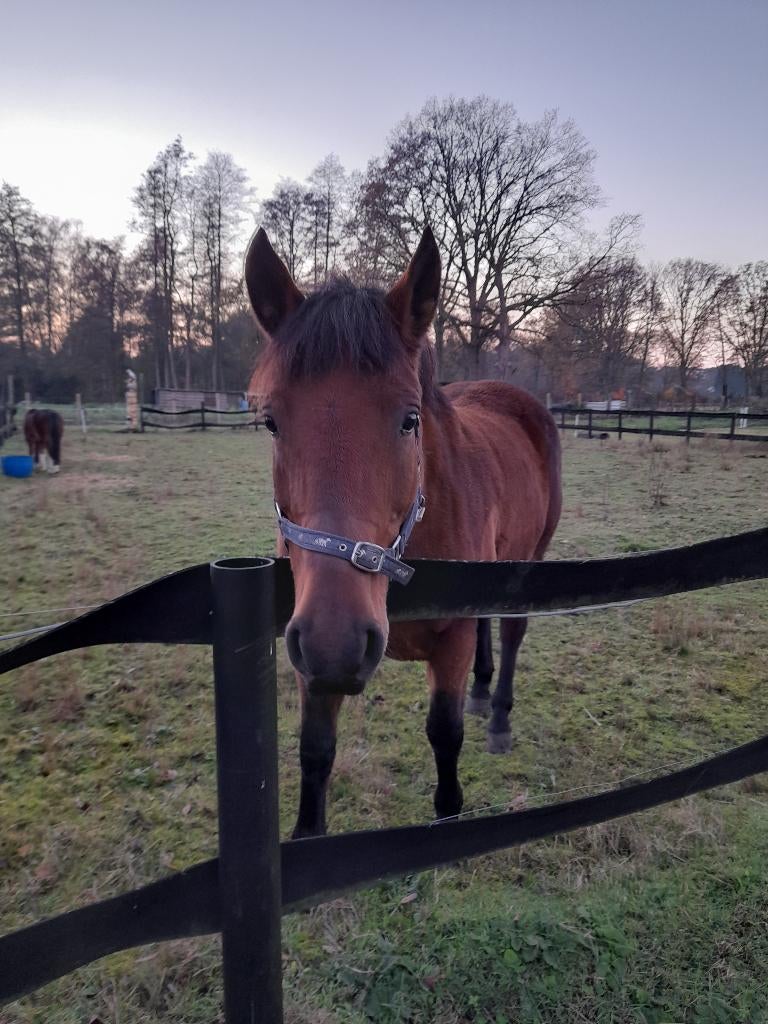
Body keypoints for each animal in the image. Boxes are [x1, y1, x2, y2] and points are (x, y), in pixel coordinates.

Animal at [245, 227, 562, 838]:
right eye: (271, 422)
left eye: (409, 420)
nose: (337, 641)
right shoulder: (307, 654)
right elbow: (315, 750)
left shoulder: (449, 642)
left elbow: (445, 735)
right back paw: (482, 694)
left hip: (529, 560)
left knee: (511, 631)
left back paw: (498, 717)